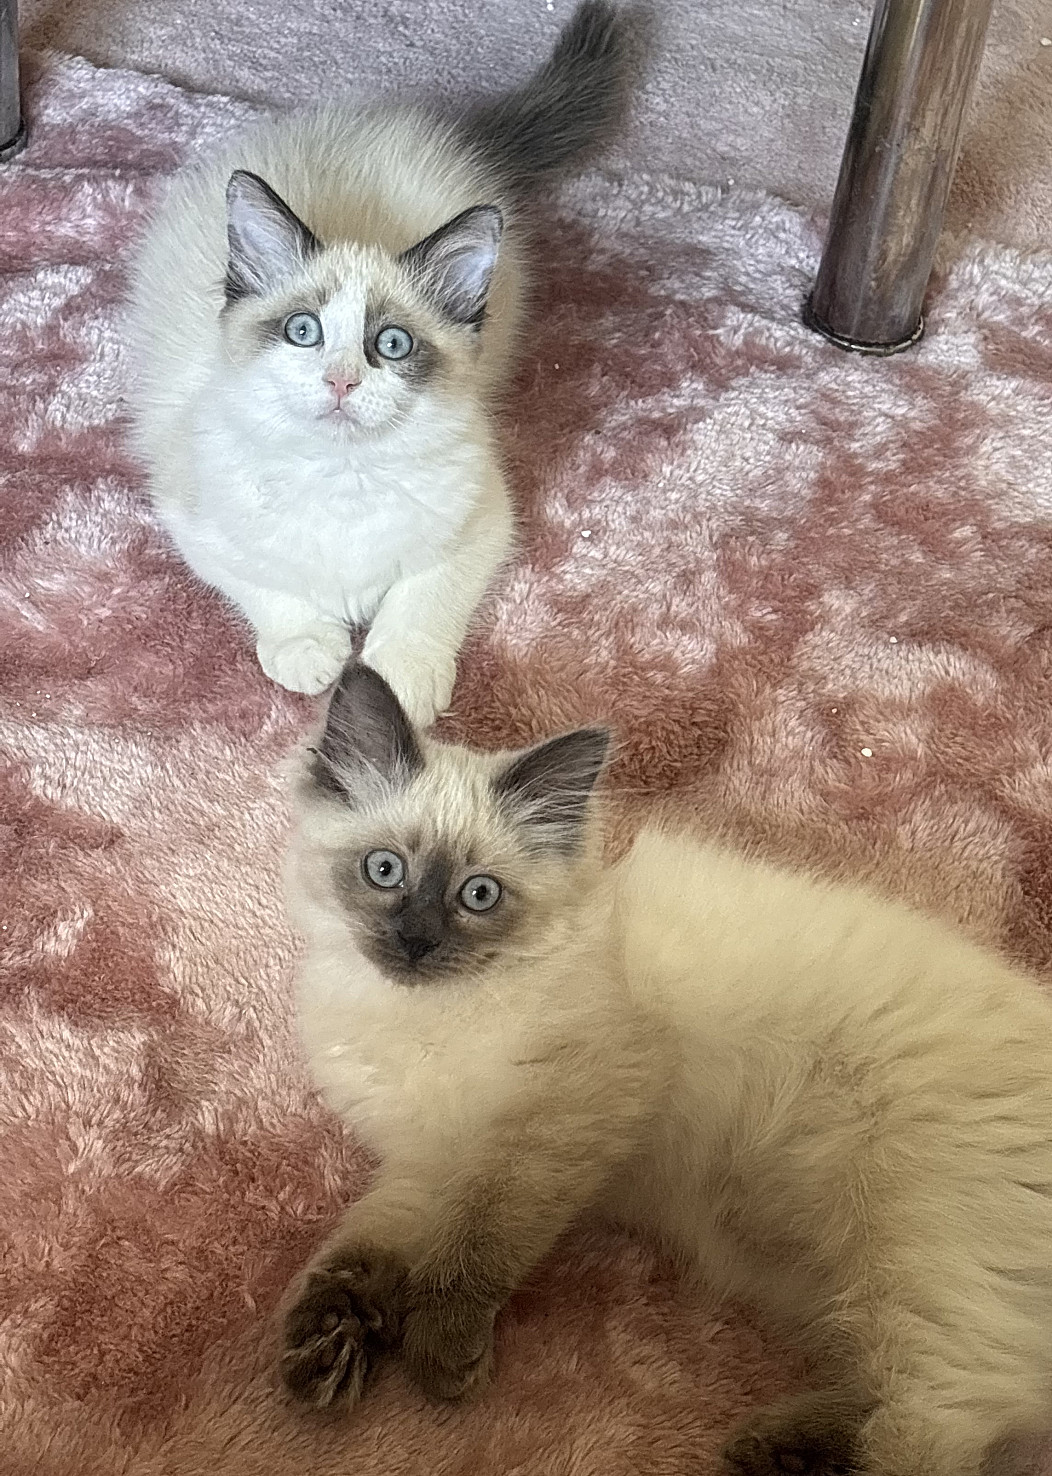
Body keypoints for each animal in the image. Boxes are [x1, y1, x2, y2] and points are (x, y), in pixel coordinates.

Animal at [125, 2, 636, 724]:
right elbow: (270, 587)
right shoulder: (194, 519)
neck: (345, 475)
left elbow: (422, 597)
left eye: (391, 344)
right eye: (303, 332)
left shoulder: (484, 522)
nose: (340, 380)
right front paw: (309, 648)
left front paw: (398, 675)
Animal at [279, 660, 1052, 1476]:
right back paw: (774, 1451)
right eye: (384, 871)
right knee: (922, 1405)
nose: (417, 942)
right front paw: (326, 1343)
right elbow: (365, 1244)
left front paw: (439, 1351)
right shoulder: (429, 1158)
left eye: (478, 895)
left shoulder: (554, 1120)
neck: (416, 1014)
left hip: (918, 1261)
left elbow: (476, 1246)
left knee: (939, 1428)